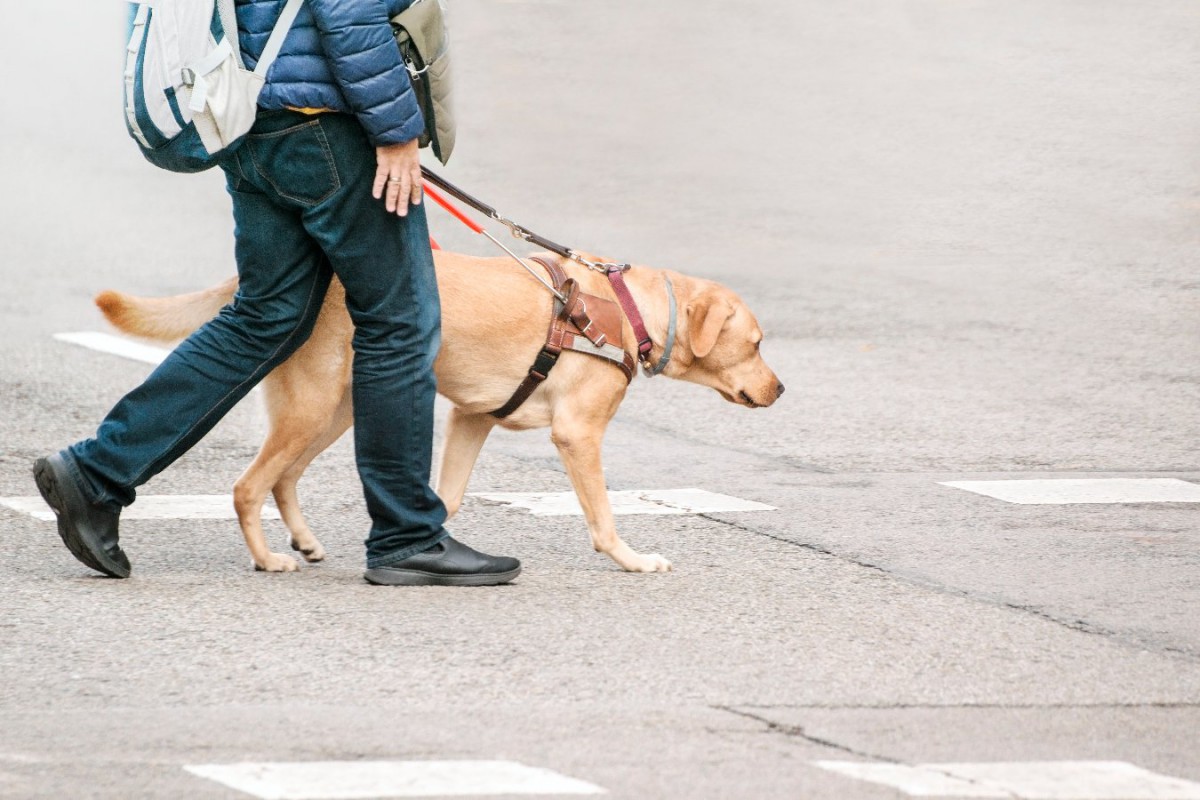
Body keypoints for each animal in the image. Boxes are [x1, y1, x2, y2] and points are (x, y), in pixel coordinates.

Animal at [96, 253, 787, 573]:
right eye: (757, 344)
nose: (781, 390)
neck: (625, 308)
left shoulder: (471, 418)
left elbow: (446, 496)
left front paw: (427, 544)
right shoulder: (578, 435)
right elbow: (603, 518)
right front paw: (633, 559)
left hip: (336, 410)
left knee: (283, 477)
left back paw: (305, 540)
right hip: (313, 408)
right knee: (247, 485)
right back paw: (268, 559)